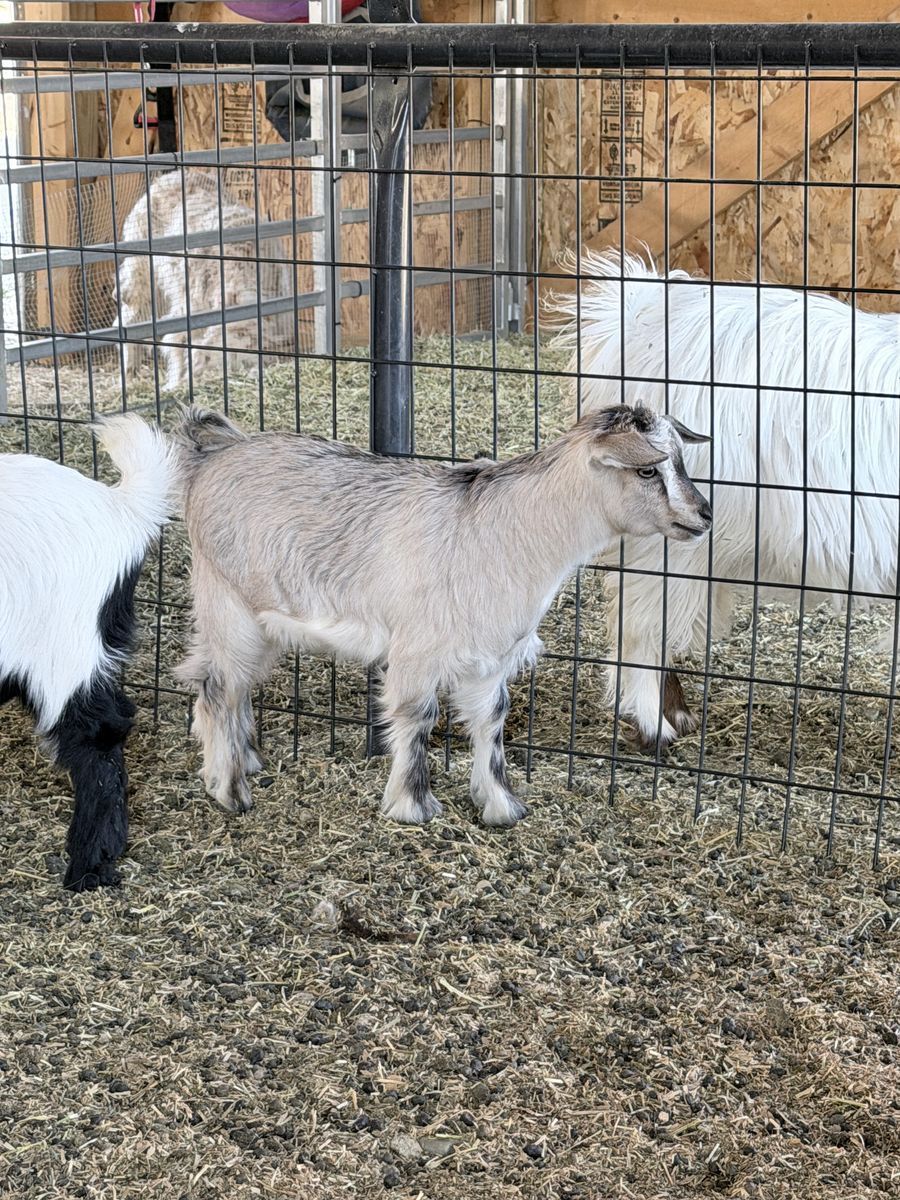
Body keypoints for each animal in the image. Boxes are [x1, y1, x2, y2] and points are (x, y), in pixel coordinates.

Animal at [115, 170, 293, 391]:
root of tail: (173, 174)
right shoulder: (189, 310)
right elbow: (177, 346)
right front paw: (174, 384)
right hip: (144, 271)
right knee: (130, 316)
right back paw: (127, 374)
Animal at [174, 404, 711, 826]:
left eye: (681, 460)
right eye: (648, 471)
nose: (704, 515)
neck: (510, 528)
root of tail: (213, 457)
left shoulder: (492, 657)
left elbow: (491, 721)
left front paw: (501, 806)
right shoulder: (418, 647)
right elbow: (418, 716)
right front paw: (412, 805)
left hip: (257, 620)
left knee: (226, 684)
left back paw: (241, 760)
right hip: (227, 602)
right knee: (218, 687)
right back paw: (229, 789)